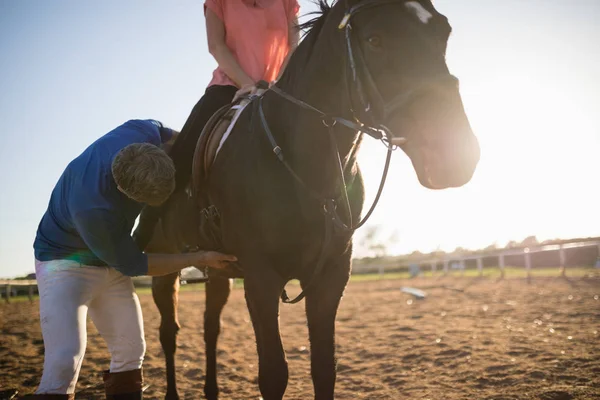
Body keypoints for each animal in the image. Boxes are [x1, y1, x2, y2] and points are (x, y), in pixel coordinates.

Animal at [138, 0, 480, 400]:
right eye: (374, 39)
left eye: (443, 33)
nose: (454, 157)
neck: (299, 165)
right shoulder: (261, 278)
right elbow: (273, 373)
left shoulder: (331, 276)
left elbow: (324, 368)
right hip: (166, 267)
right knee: (169, 333)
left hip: (218, 269)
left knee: (210, 329)